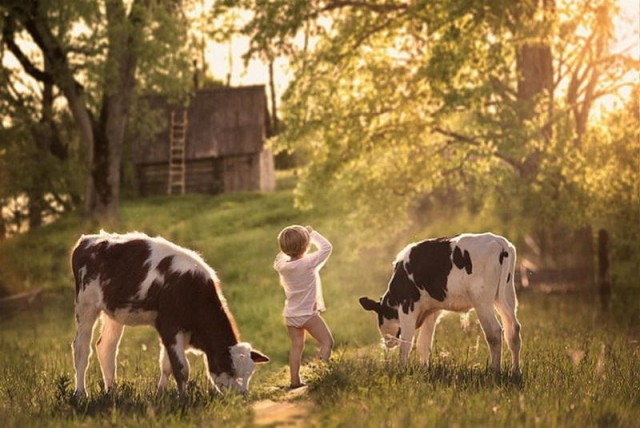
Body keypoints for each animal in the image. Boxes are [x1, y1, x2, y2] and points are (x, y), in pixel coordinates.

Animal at [70, 231, 268, 398]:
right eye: (231, 370)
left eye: (249, 374)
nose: (242, 396)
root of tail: (88, 240)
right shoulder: (169, 326)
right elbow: (181, 368)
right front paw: (183, 398)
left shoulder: (174, 331)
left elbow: (166, 365)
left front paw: (161, 394)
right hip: (86, 305)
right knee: (81, 349)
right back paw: (80, 393)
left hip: (113, 313)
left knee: (106, 348)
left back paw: (111, 392)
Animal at [360, 232, 520, 372]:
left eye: (381, 316)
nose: (388, 343)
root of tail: (499, 242)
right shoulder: (432, 310)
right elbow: (423, 344)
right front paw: (423, 370)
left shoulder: (407, 307)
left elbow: (406, 344)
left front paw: (402, 371)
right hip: (506, 296)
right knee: (513, 329)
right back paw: (515, 371)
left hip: (482, 301)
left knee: (494, 332)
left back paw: (495, 370)